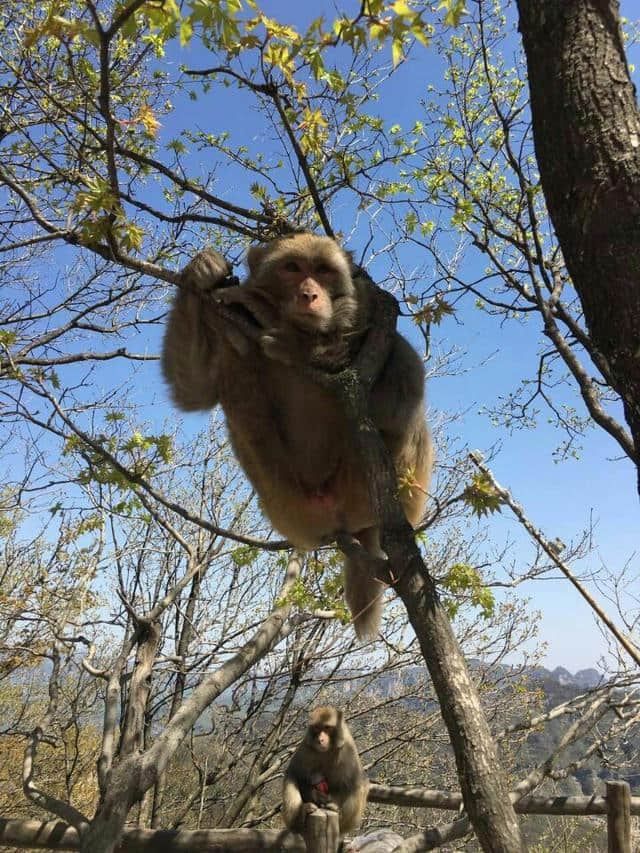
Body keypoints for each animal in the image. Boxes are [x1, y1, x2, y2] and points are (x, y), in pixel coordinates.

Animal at [160, 235, 432, 640]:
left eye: (322, 270)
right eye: (292, 268)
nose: (309, 294)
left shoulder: (371, 313)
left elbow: (373, 340)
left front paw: (275, 321)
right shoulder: (219, 322)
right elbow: (194, 391)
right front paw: (202, 271)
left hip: (389, 482)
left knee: (400, 376)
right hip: (285, 506)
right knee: (233, 369)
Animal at [282, 704, 368, 832]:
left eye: (327, 728)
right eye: (317, 728)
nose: (320, 739)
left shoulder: (347, 750)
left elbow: (349, 783)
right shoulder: (306, 748)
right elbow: (296, 774)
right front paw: (315, 794)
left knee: (358, 786)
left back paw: (336, 813)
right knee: (290, 779)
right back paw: (299, 818)